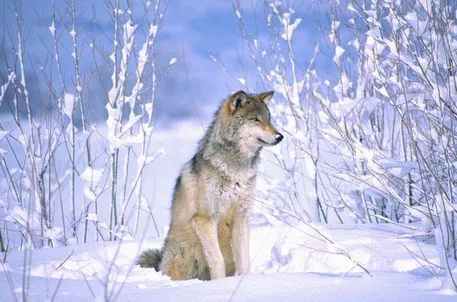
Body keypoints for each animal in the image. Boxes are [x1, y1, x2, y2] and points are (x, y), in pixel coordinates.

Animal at [137, 90, 284, 280]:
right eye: (255, 119)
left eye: (269, 119)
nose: (280, 136)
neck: (235, 169)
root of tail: (160, 262)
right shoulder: (205, 219)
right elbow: (217, 260)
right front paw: (220, 283)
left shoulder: (241, 217)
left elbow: (244, 261)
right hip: (182, 255)